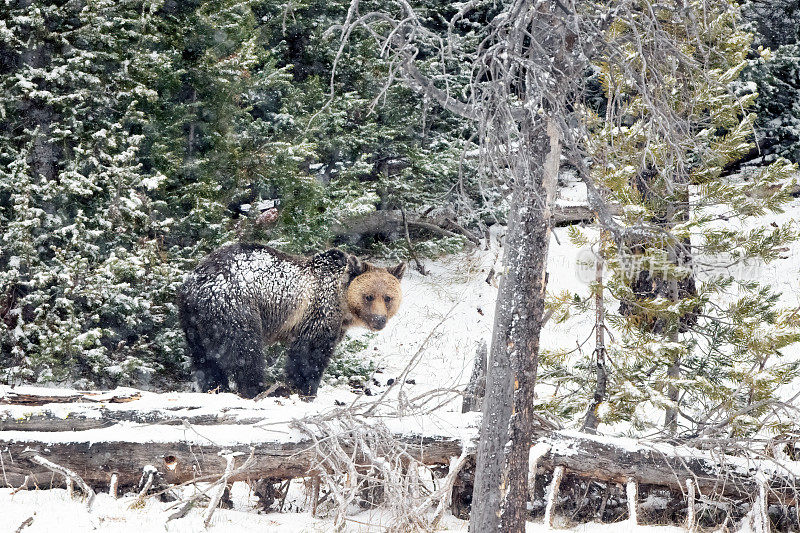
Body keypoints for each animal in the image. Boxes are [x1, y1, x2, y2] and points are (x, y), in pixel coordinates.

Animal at [177, 243, 404, 396]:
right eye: (369, 296)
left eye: (388, 297)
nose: (379, 320)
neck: (344, 305)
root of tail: (194, 282)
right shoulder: (319, 312)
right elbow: (309, 354)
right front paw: (304, 388)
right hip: (236, 307)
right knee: (246, 350)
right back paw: (261, 388)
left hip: (196, 323)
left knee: (204, 358)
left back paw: (216, 388)